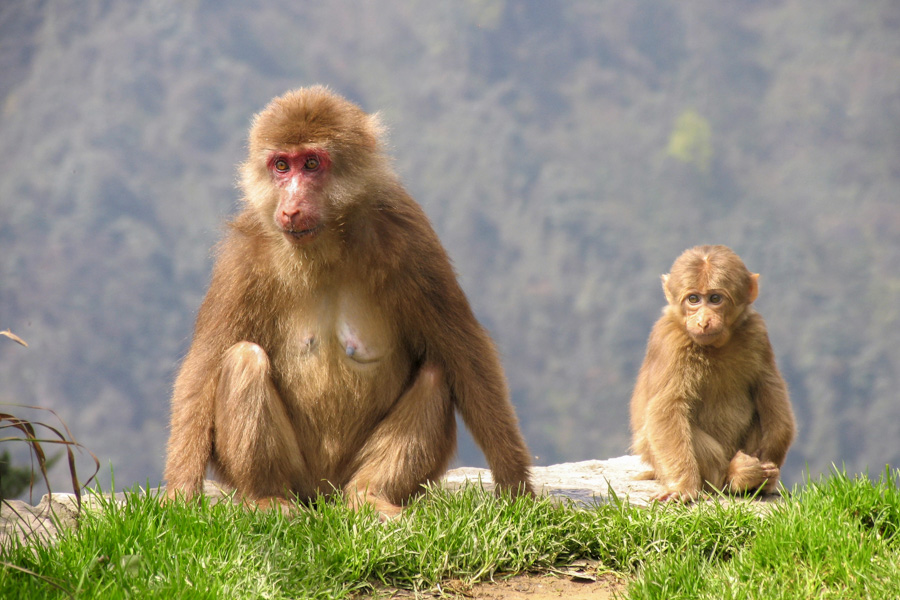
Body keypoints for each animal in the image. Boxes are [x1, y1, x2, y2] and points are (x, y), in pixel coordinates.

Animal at [163, 86, 533, 516]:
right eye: (281, 166)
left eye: (311, 164)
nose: (291, 206)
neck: (326, 248)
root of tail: (324, 497)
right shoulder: (242, 258)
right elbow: (204, 364)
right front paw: (179, 493)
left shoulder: (410, 238)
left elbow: (464, 351)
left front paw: (516, 483)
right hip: (299, 477)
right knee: (244, 358)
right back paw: (267, 496)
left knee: (435, 375)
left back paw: (370, 495)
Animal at [630, 245, 796, 502]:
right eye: (693, 299)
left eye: (715, 299)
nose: (703, 321)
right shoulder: (669, 343)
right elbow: (666, 409)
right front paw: (682, 486)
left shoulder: (757, 332)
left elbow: (769, 386)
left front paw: (771, 460)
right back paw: (736, 475)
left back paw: (754, 479)